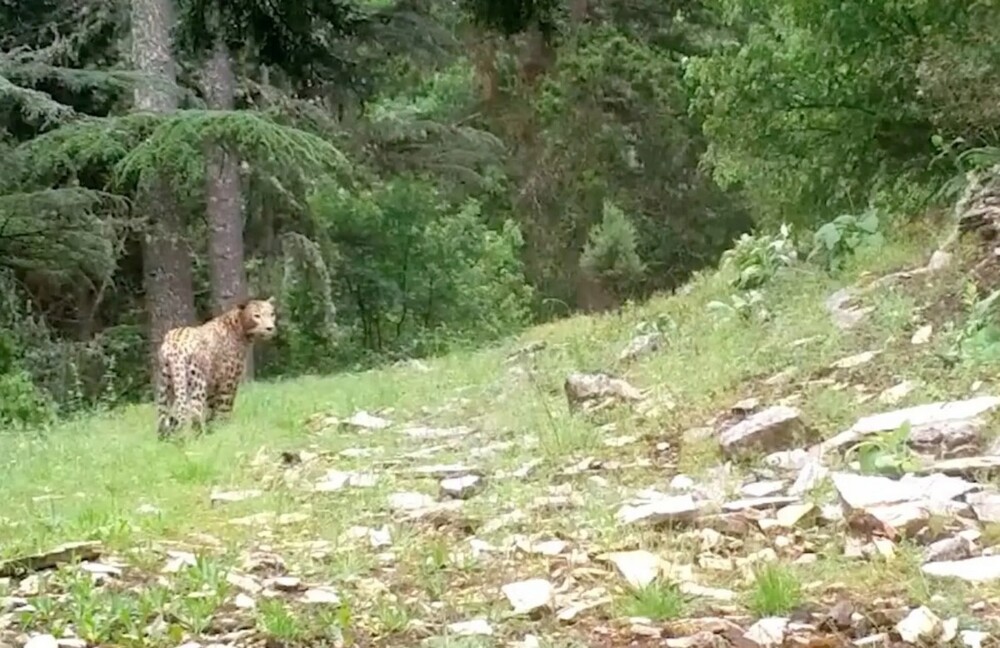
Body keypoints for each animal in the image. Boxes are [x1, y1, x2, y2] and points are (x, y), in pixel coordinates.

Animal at [158, 296, 280, 438]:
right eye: (257, 315)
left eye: (272, 314)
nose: (270, 328)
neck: (240, 328)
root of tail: (174, 344)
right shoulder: (228, 383)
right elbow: (224, 410)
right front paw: (225, 431)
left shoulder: (213, 386)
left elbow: (211, 412)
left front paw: (213, 430)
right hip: (197, 385)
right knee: (194, 413)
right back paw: (198, 437)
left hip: (165, 386)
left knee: (162, 416)